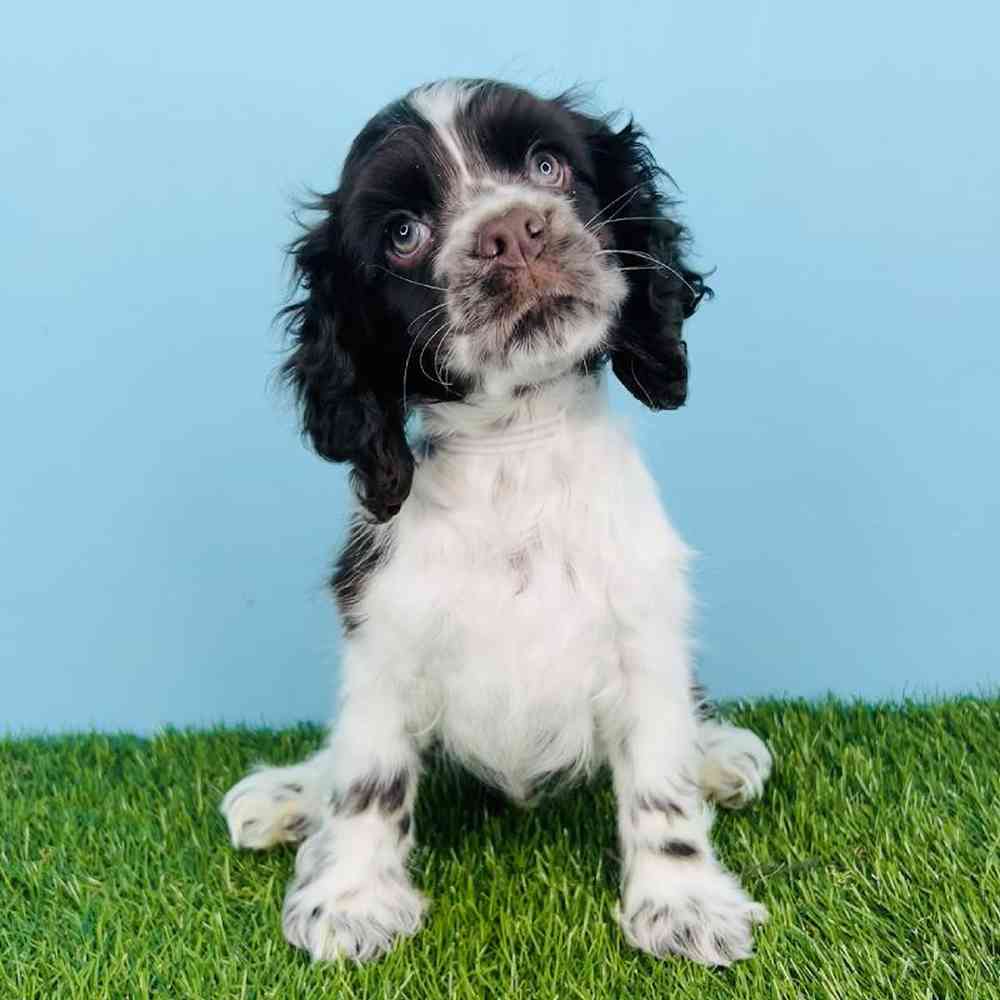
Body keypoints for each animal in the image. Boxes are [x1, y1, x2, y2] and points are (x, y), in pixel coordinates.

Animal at [223, 78, 772, 968]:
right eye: (403, 234)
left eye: (547, 166)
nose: (512, 230)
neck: (517, 448)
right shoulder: (383, 633)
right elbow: (369, 778)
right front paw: (352, 899)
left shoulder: (643, 633)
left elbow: (660, 784)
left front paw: (684, 903)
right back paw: (292, 795)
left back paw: (717, 752)